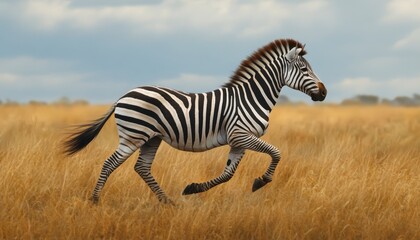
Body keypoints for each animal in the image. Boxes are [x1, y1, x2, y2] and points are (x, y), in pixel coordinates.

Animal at [65, 38, 328, 203]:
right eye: (304, 69)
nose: (324, 93)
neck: (250, 97)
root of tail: (124, 95)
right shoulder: (241, 134)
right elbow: (276, 152)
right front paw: (261, 182)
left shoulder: (238, 141)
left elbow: (228, 173)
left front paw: (193, 189)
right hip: (133, 135)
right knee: (109, 164)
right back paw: (95, 200)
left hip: (152, 138)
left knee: (142, 167)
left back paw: (167, 202)